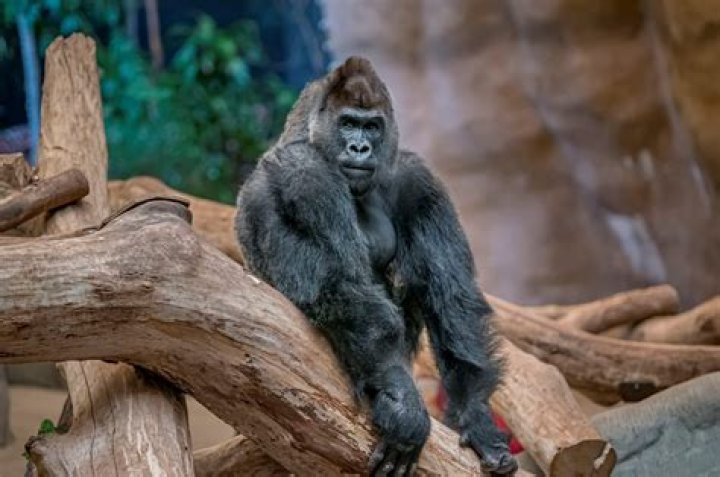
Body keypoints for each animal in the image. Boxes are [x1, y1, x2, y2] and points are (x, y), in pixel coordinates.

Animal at [235, 57, 517, 476]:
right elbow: (340, 285)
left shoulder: (414, 178)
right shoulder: (303, 171)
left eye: (372, 126)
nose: (360, 147)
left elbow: (452, 297)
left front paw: (475, 413)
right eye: (348, 123)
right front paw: (399, 397)